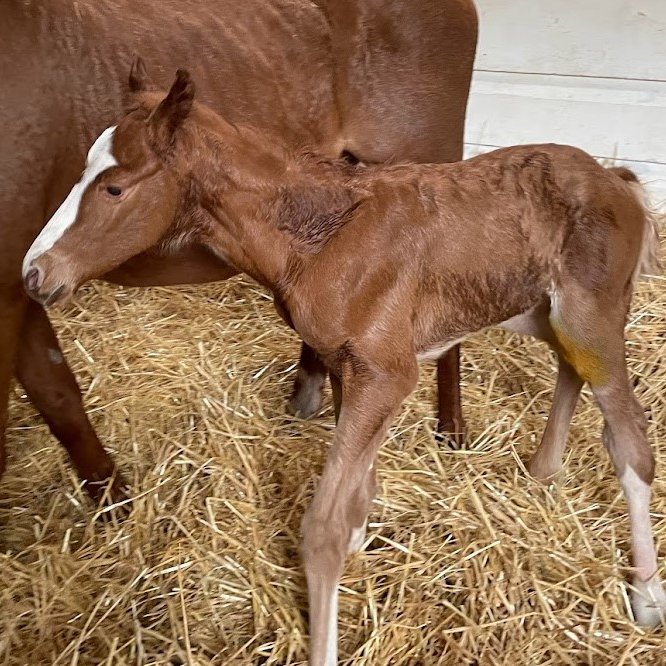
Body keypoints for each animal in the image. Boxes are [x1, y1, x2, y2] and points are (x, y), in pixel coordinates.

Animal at [23, 67, 665, 664]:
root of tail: (617, 179)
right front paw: (362, 533)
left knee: (630, 440)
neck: (320, 235)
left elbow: (324, 525)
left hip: (591, 317)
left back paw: (646, 596)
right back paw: (543, 471)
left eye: (114, 187)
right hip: (539, 314)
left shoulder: (386, 372)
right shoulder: (342, 364)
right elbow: (358, 486)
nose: (34, 273)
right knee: (570, 369)